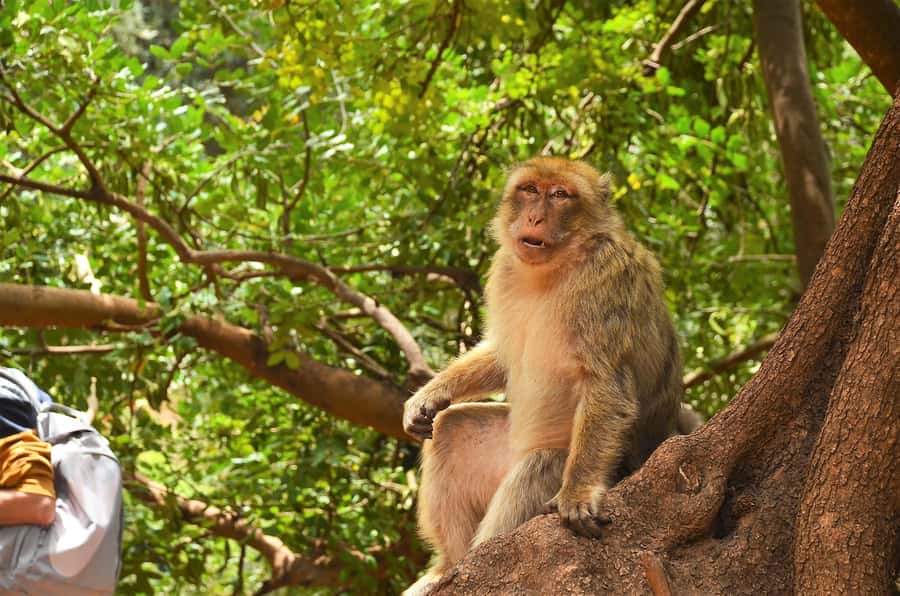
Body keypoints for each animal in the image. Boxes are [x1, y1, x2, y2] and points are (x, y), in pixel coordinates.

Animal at [402, 157, 695, 595]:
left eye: (559, 195)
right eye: (529, 190)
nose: (535, 217)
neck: (555, 267)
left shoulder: (606, 281)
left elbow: (606, 384)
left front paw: (577, 494)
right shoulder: (503, 269)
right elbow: (501, 354)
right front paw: (430, 393)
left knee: (539, 466)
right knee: (454, 430)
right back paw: (449, 568)